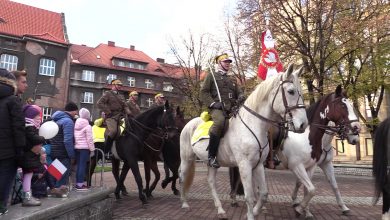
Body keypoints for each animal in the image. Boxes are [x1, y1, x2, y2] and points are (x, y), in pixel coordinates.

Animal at [179, 65, 308, 220]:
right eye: (291, 91)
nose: (303, 124)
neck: (254, 125)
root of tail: (189, 123)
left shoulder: (258, 165)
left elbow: (263, 194)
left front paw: (256, 211)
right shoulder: (244, 165)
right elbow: (249, 196)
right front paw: (251, 215)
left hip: (212, 163)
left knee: (211, 182)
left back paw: (220, 210)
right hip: (187, 158)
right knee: (182, 178)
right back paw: (184, 203)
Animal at [276, 86, 362, 218]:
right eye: (342, 105)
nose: (356, 130)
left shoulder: (320, 165)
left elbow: (330, 186)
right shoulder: (298, 165)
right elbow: (307, 187)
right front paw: (300, 208)